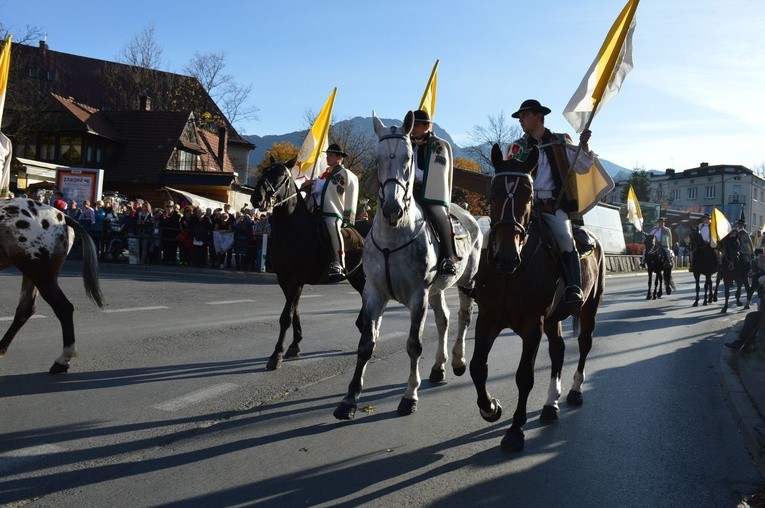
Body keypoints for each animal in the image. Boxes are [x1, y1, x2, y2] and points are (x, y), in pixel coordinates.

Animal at [0, 198, 103, 374]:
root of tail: (61, 216)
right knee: (26, 309)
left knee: (63, 308)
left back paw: (63, 359)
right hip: (32, 274)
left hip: (41, 275)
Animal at [251, 157, 368, 372]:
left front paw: (276, 355)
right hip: (356, 277)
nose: (257, 198)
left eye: (281, 175)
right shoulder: (285, 280)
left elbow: (286, 316)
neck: (293, 230)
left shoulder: (296, 279)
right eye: (265, 172)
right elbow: (295, 311)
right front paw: (295, 346)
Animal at [332, 109, 480, 418]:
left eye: (409, 158)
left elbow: (414, 345)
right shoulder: (373, 293)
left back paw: (458, 361)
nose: (392, 208)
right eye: (377, 158)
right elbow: (366, 344)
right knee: (444, 319)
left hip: (467, 281)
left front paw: (410, 395)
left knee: (464, 317)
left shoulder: (417, 295)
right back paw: (438, 367)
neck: (394, 235)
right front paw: (349, 399)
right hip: (437, 290)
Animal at [468, 144, 604, 452]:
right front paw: (490, 408)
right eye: (492, 193)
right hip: (554, 319)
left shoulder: (533, 325)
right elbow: (477, 367)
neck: (509, 274)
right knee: (558, 351)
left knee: (583, 344)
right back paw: (550, 405)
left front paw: (515, 430)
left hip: (589, 307)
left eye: (528, 195)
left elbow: (524, 377)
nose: (506, 256)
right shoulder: (488, 319)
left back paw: (575, 390)